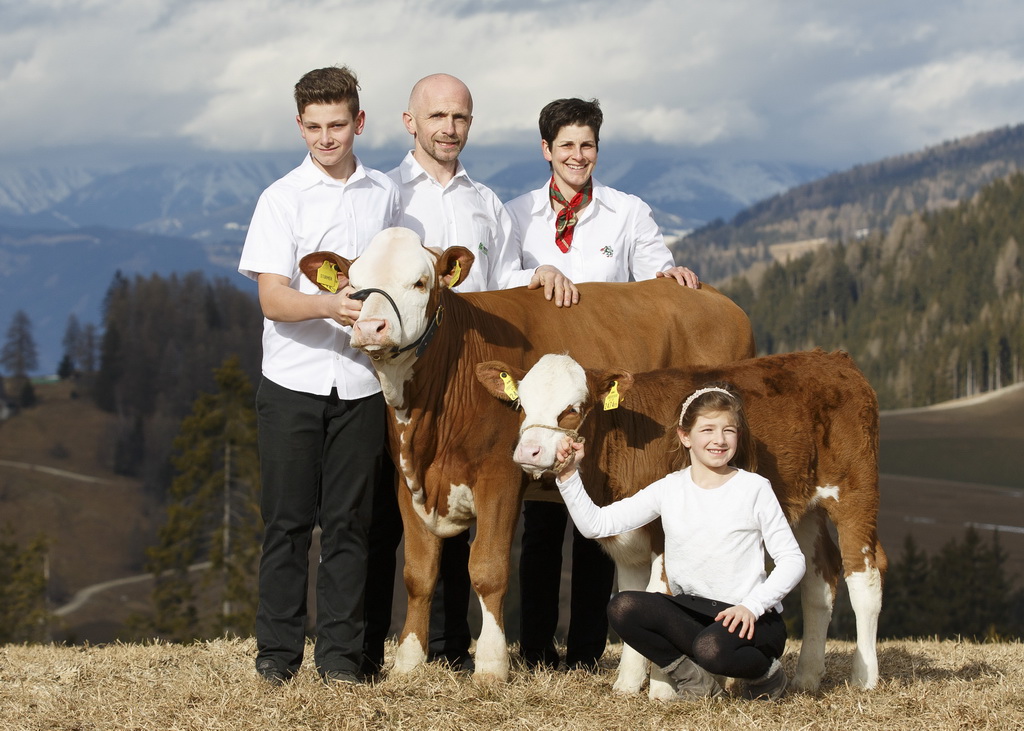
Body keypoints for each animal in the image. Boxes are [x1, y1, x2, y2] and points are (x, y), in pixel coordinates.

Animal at [299, 226, 757, 675]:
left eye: (419, 282)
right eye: (354, 285)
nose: (370, 327)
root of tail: (717, 299)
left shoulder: (500, 476)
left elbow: (488, 569)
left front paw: (491, 664)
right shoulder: (408, 480)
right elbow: (418, 573)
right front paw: (408, 665)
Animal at [479, 348, 888, 688]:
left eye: (573, 408)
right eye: (521, 404)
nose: (530, 451)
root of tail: (833, 359)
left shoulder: (663, 538)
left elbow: (658, 595)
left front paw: (661, 689)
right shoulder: (628, 539)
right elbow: (630, 598)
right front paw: (627, 685)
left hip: (857, 491)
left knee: (863, 578)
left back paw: (864, 678)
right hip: (804, 508)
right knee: (820, 580)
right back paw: (806, 677)